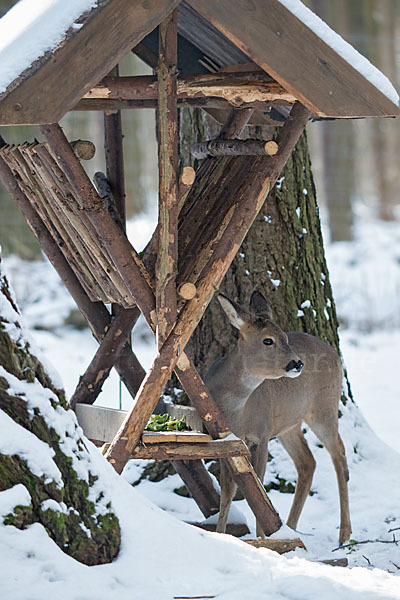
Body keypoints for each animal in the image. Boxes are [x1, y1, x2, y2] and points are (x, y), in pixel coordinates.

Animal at [205, 290, 352, 544]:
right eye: (268, 340)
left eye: (284, 336)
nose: (297, 363)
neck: (235, 410)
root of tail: (335, 351)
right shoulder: (224, 440)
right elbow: (228, 490)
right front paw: (221, 534)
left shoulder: (261, 433)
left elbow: (258, 486)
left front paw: (261, 539)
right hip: (289, 423)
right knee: (307, 462)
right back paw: (290, 528)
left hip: (323, 407)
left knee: (339, 455)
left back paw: (344, 533)